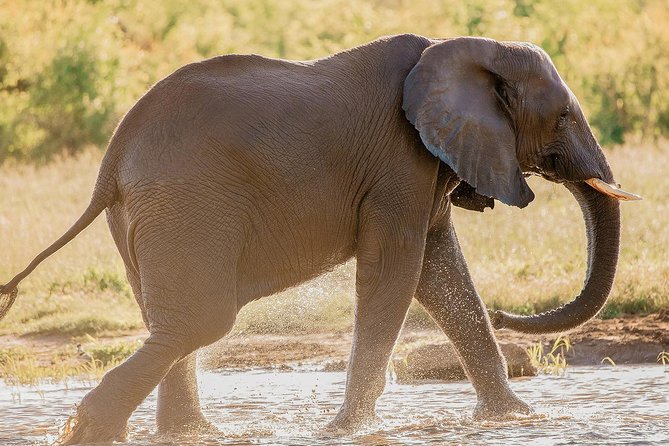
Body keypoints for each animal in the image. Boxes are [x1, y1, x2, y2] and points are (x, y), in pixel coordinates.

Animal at [0, 34, 640, 444]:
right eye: (562, 117)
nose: (512, 313)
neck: (462, 48)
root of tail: (111, 162)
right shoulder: (398, 161)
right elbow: (396, 271)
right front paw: (348, 431)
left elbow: (442, 274)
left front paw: (516, 422)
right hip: (185, 206)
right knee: (200, 320)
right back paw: (87, 432)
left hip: (149, 214)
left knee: (171, 321)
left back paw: (194, 434)